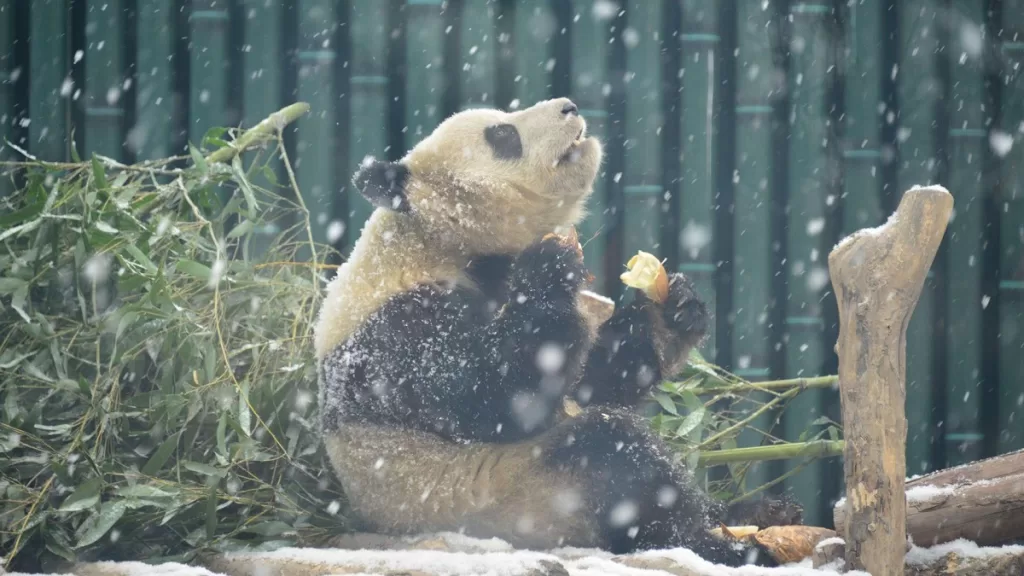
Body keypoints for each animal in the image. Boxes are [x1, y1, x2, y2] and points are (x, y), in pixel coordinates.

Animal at [313, 98, 790, 567]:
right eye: (502, 134)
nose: (569, 107)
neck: (436, 240)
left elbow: (590, 384)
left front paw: (673, 309)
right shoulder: (395, 332)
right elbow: (494, 395)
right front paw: (548, 269)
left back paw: (759, 513)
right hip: (519, 497)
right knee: (614, 455)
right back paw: (719, 544)